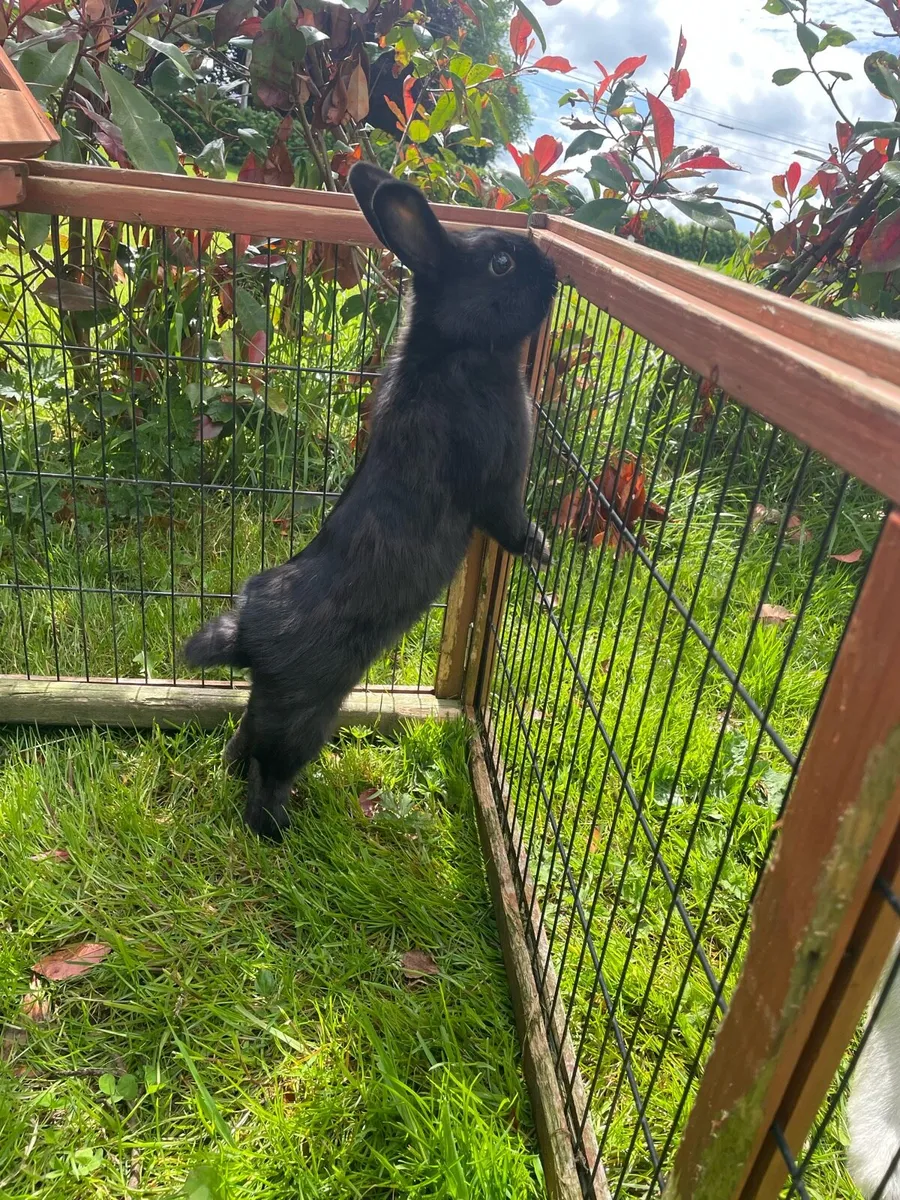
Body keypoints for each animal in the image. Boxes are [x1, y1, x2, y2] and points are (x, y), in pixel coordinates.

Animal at [183, 161, 557, 839]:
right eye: (500, 264)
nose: (554, 272)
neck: (452, 352)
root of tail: (248, 626)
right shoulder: (498, 485)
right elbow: (510, 523)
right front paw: (542, 551)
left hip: (274, 702)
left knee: (242, 741)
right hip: (306, 712)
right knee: (267, 769)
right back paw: (279, 829)